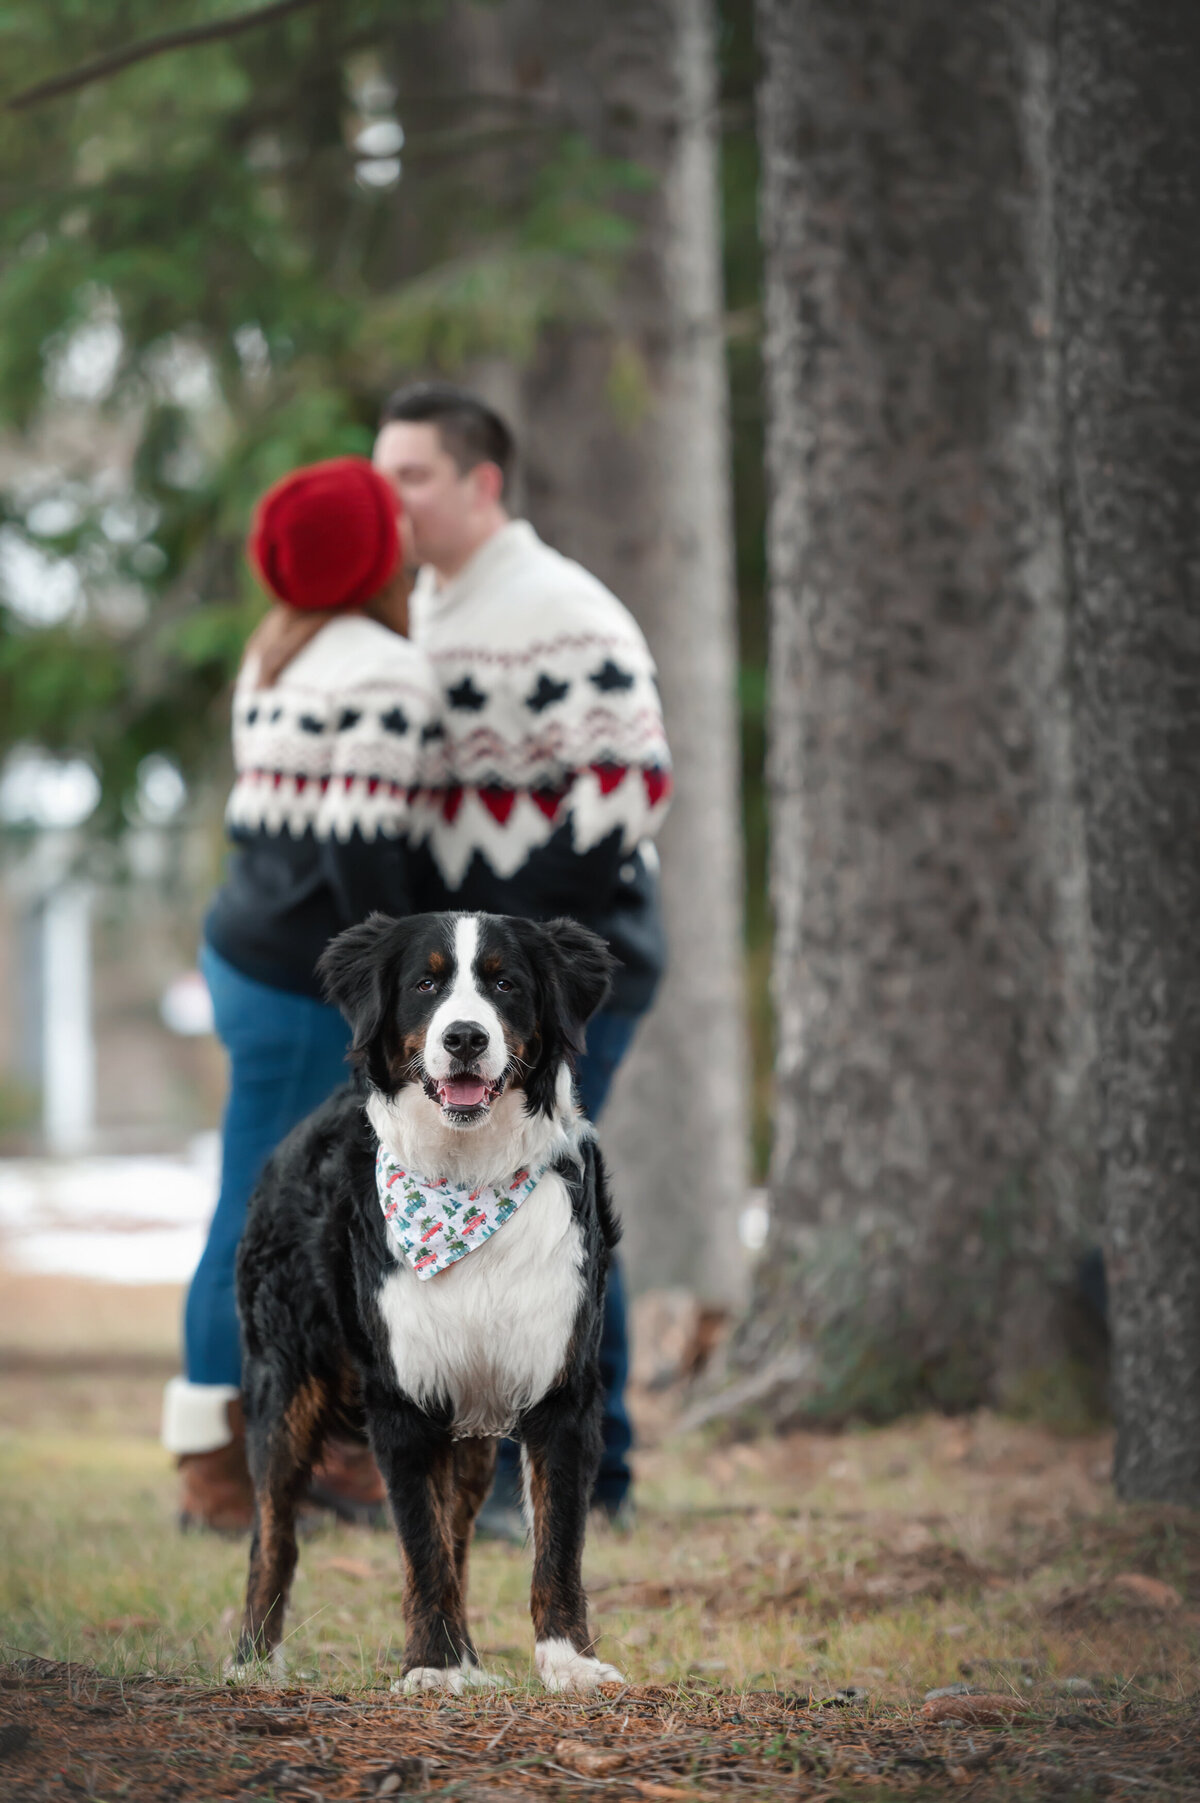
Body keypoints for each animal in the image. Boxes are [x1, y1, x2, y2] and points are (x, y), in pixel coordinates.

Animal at [230, 915, 627, 1687]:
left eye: (505, 982)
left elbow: (556, 1542)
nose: (465, 1037)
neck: (467, 1177)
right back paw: (253, 1659)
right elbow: (421, 1540)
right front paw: (437, 1666)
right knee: (272, 1529)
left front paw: (568, 1661)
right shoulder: (403, 1395)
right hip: (285, 1384)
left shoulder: (560, 1386)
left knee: (460, 1532)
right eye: (425, 983)